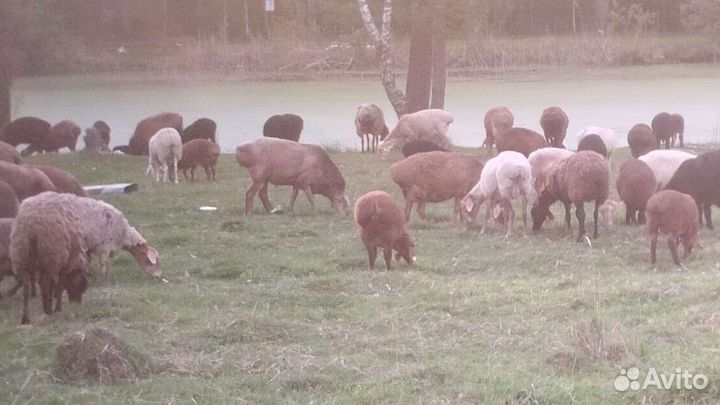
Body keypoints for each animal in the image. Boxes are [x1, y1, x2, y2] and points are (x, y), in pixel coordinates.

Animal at [11, 192, 89, 324]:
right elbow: (60, 286)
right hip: (51, 257)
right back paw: (48, 310)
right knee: (45, 282)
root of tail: (32, 228)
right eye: (82, 285)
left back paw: (25, 318)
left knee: (26, 288)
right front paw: (58, 308)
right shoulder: (64, 265)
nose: (77, 303)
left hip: (21, 259)